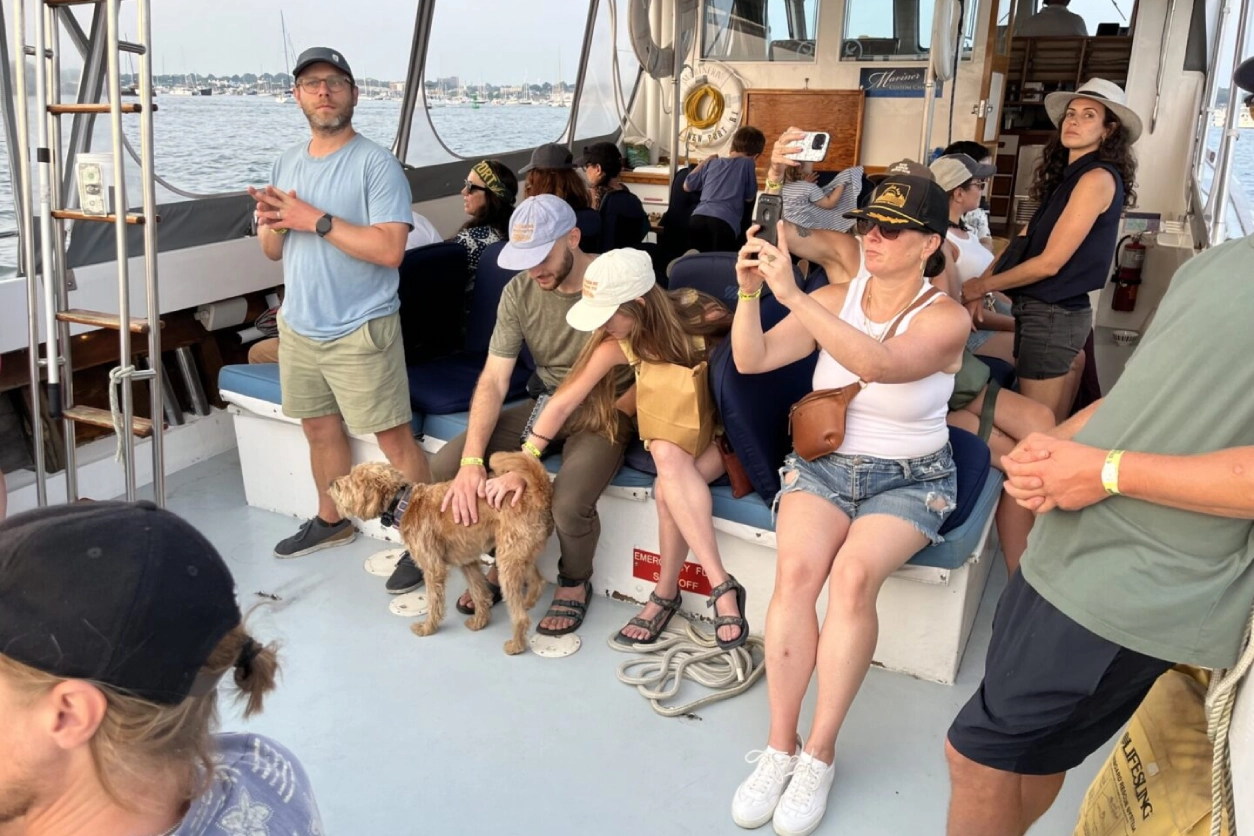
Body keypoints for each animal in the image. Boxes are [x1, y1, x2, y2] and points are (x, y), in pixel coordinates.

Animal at [328, 451, 554, 651]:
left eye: (352, 481)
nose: (331, 483)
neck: (404, 503)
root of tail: (537, 495)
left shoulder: (433, 568)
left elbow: (434, 602)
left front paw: (428, 628)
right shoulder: (467, 562)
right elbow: (478, 593)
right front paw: (480, 621)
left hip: (507, 563)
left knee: (521, 617)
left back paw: (516, 645)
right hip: (518, 556)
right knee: (538, 581)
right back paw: (529, 601)